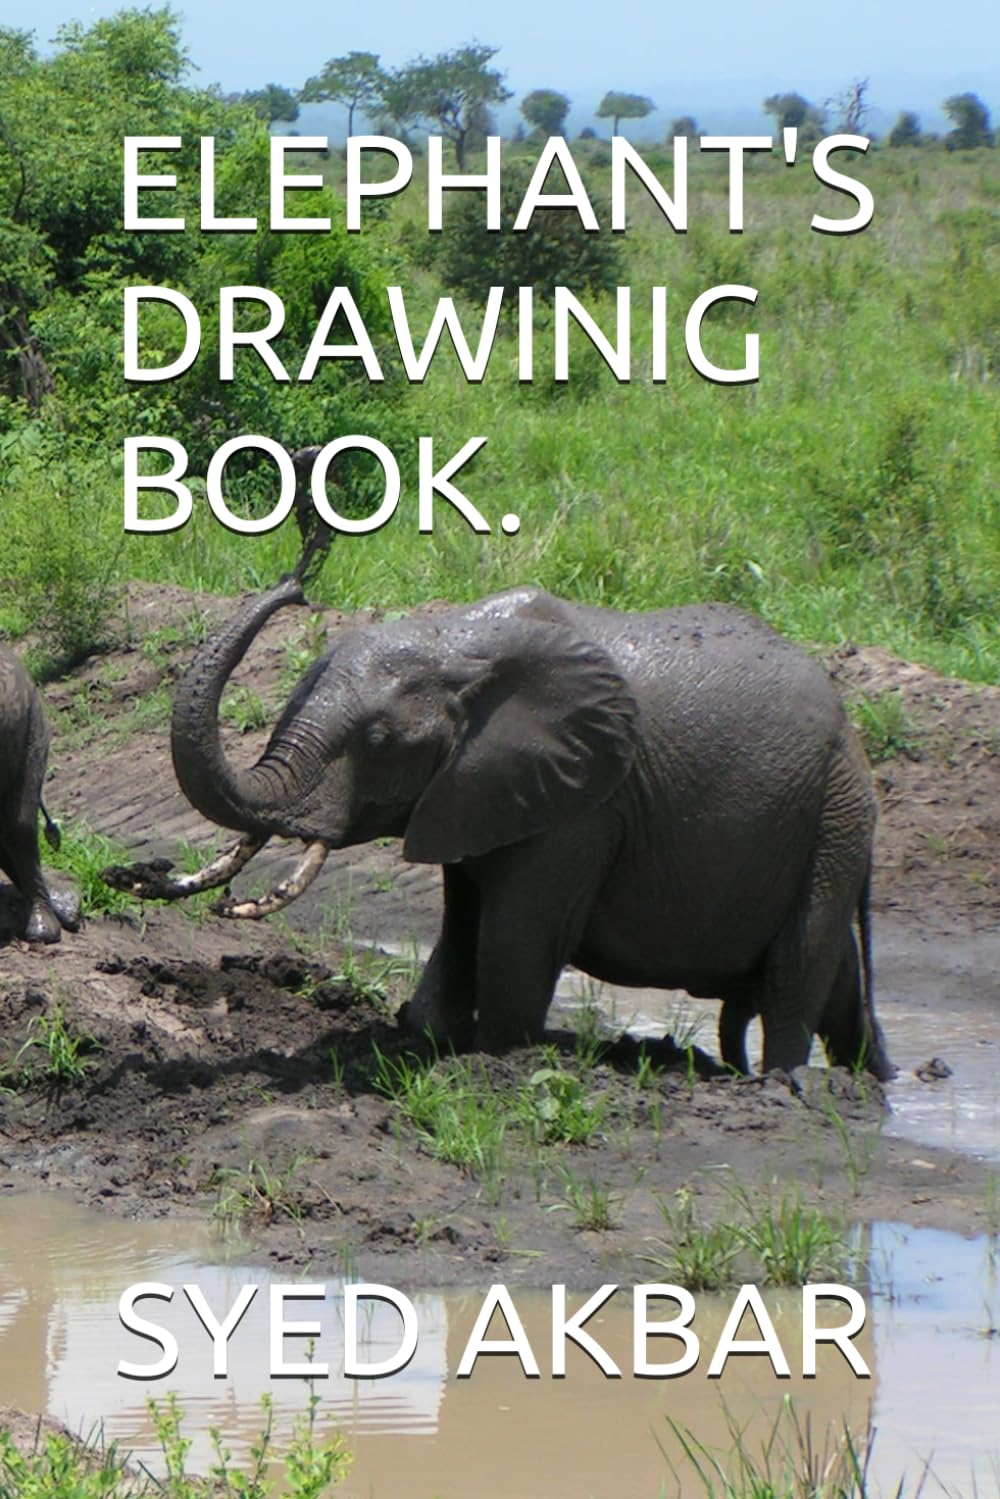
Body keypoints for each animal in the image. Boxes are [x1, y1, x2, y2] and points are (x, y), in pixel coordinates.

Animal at [102, 577, 891, 1079]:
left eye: (379, 741)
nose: (297, 580)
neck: (457, 641)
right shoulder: (475, 789)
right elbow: (463, 918)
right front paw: (422, 1032)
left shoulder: (585, 801)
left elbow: (515, 933)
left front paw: (495, 1053)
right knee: (836, 975)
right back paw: (868, 1082)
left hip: (836, 811)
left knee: (800, 960)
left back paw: (784, 1083)